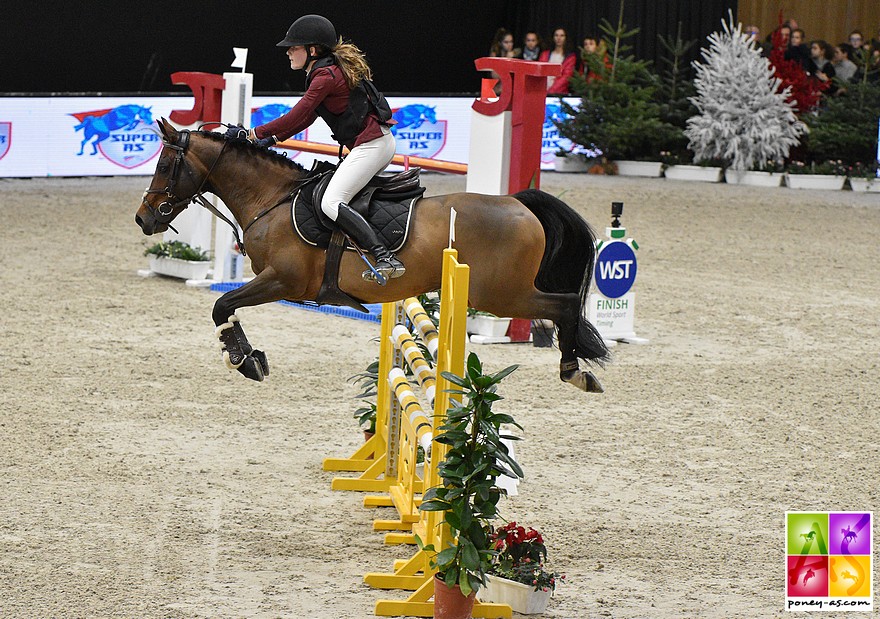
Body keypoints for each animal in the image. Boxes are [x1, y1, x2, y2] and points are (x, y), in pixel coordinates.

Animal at [134, 120, 608, 392]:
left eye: (163, 166)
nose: (143, 218)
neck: (272, 198)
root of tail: (519, 204)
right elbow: (224, 306)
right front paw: (247, 356)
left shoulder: (282, 280)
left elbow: (222, 304)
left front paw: (244, 360)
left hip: (500, 295)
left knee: (566, 305)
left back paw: (575, 371)